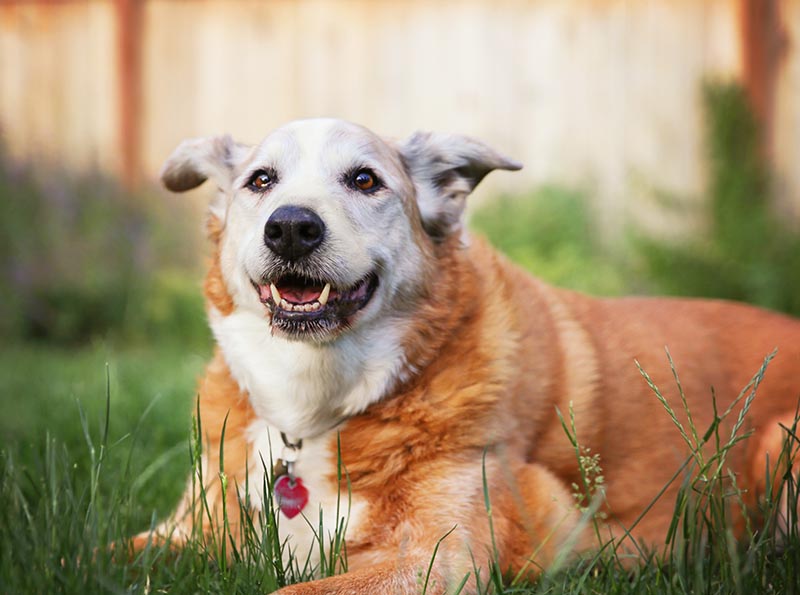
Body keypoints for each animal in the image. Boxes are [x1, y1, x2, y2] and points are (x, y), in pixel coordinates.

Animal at [136, 118, 800, 592]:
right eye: (261, 181)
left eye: (364, 180)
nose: (291, 228)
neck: (314, 409)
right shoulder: (186, 529)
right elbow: (113, 552)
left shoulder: (439, 558)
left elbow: (292, 590)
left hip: (780, 446)